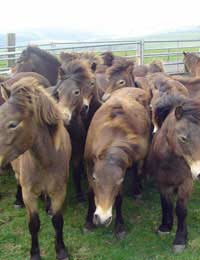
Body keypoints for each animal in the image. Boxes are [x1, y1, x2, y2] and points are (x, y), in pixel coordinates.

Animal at [0, 77, 71, 260]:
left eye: (13, 124)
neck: (45, 162)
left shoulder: (59, 191)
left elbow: (58, 221)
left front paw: (61, 250)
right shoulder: (29, 194)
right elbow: (33, 224)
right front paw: (35, 254)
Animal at [83, 87, 151, 238]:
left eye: (120, 181)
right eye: (95, 178)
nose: (102, 219)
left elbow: (119, 198)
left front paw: (120, 226)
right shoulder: (89, 167)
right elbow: (90, 193)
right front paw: (88, 222)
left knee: (138, 170)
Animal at [147, 94, 200, 253]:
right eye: (183, 138)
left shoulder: (186, 184)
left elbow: (181, 210)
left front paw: (180, 239)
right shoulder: (162, 183)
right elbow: (166, 204)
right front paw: (165, 227)